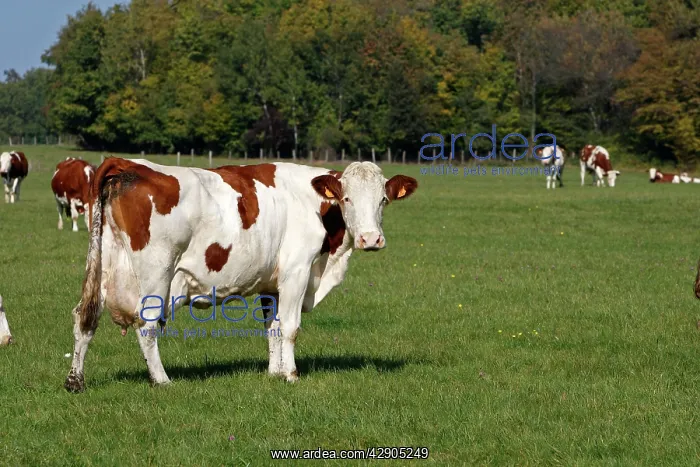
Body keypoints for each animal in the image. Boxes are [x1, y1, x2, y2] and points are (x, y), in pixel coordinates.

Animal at [64, 159, 418, 392]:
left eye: (383, 200)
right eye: (346, 198)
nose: (371, 239)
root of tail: (126, 163)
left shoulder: (271, 284)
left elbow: (272, 327)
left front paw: (274, 372)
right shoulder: (297, 272)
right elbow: (290, 327)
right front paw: (291, 374)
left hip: (103, 266)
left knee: (85, 318)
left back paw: (75, 380)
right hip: (156, 272)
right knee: (147, 326)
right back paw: (162, 380)